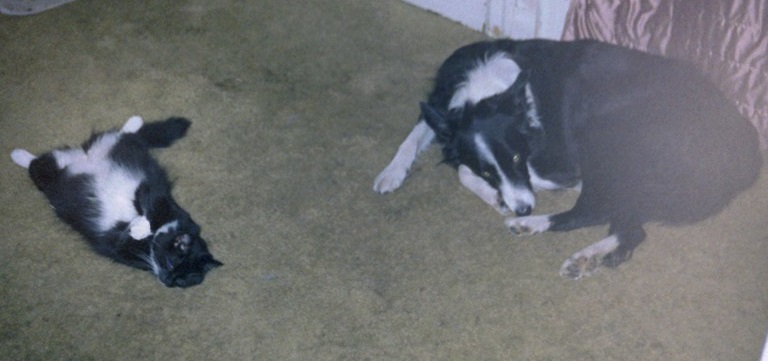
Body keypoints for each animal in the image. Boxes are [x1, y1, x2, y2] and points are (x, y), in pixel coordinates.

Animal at [374, 38, 760, 278]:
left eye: (518, 154)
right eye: (490, 169)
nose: (523, 208)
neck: (486, 90)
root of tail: (744, 153)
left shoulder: (557, 165)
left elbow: (464, 172)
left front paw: (500, 200)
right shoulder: (442, 108)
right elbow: (421, 139)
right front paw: (391, 172)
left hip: (607, 134)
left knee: (594, 209)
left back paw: (534, 226)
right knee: (631, 229)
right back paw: (587, 257)